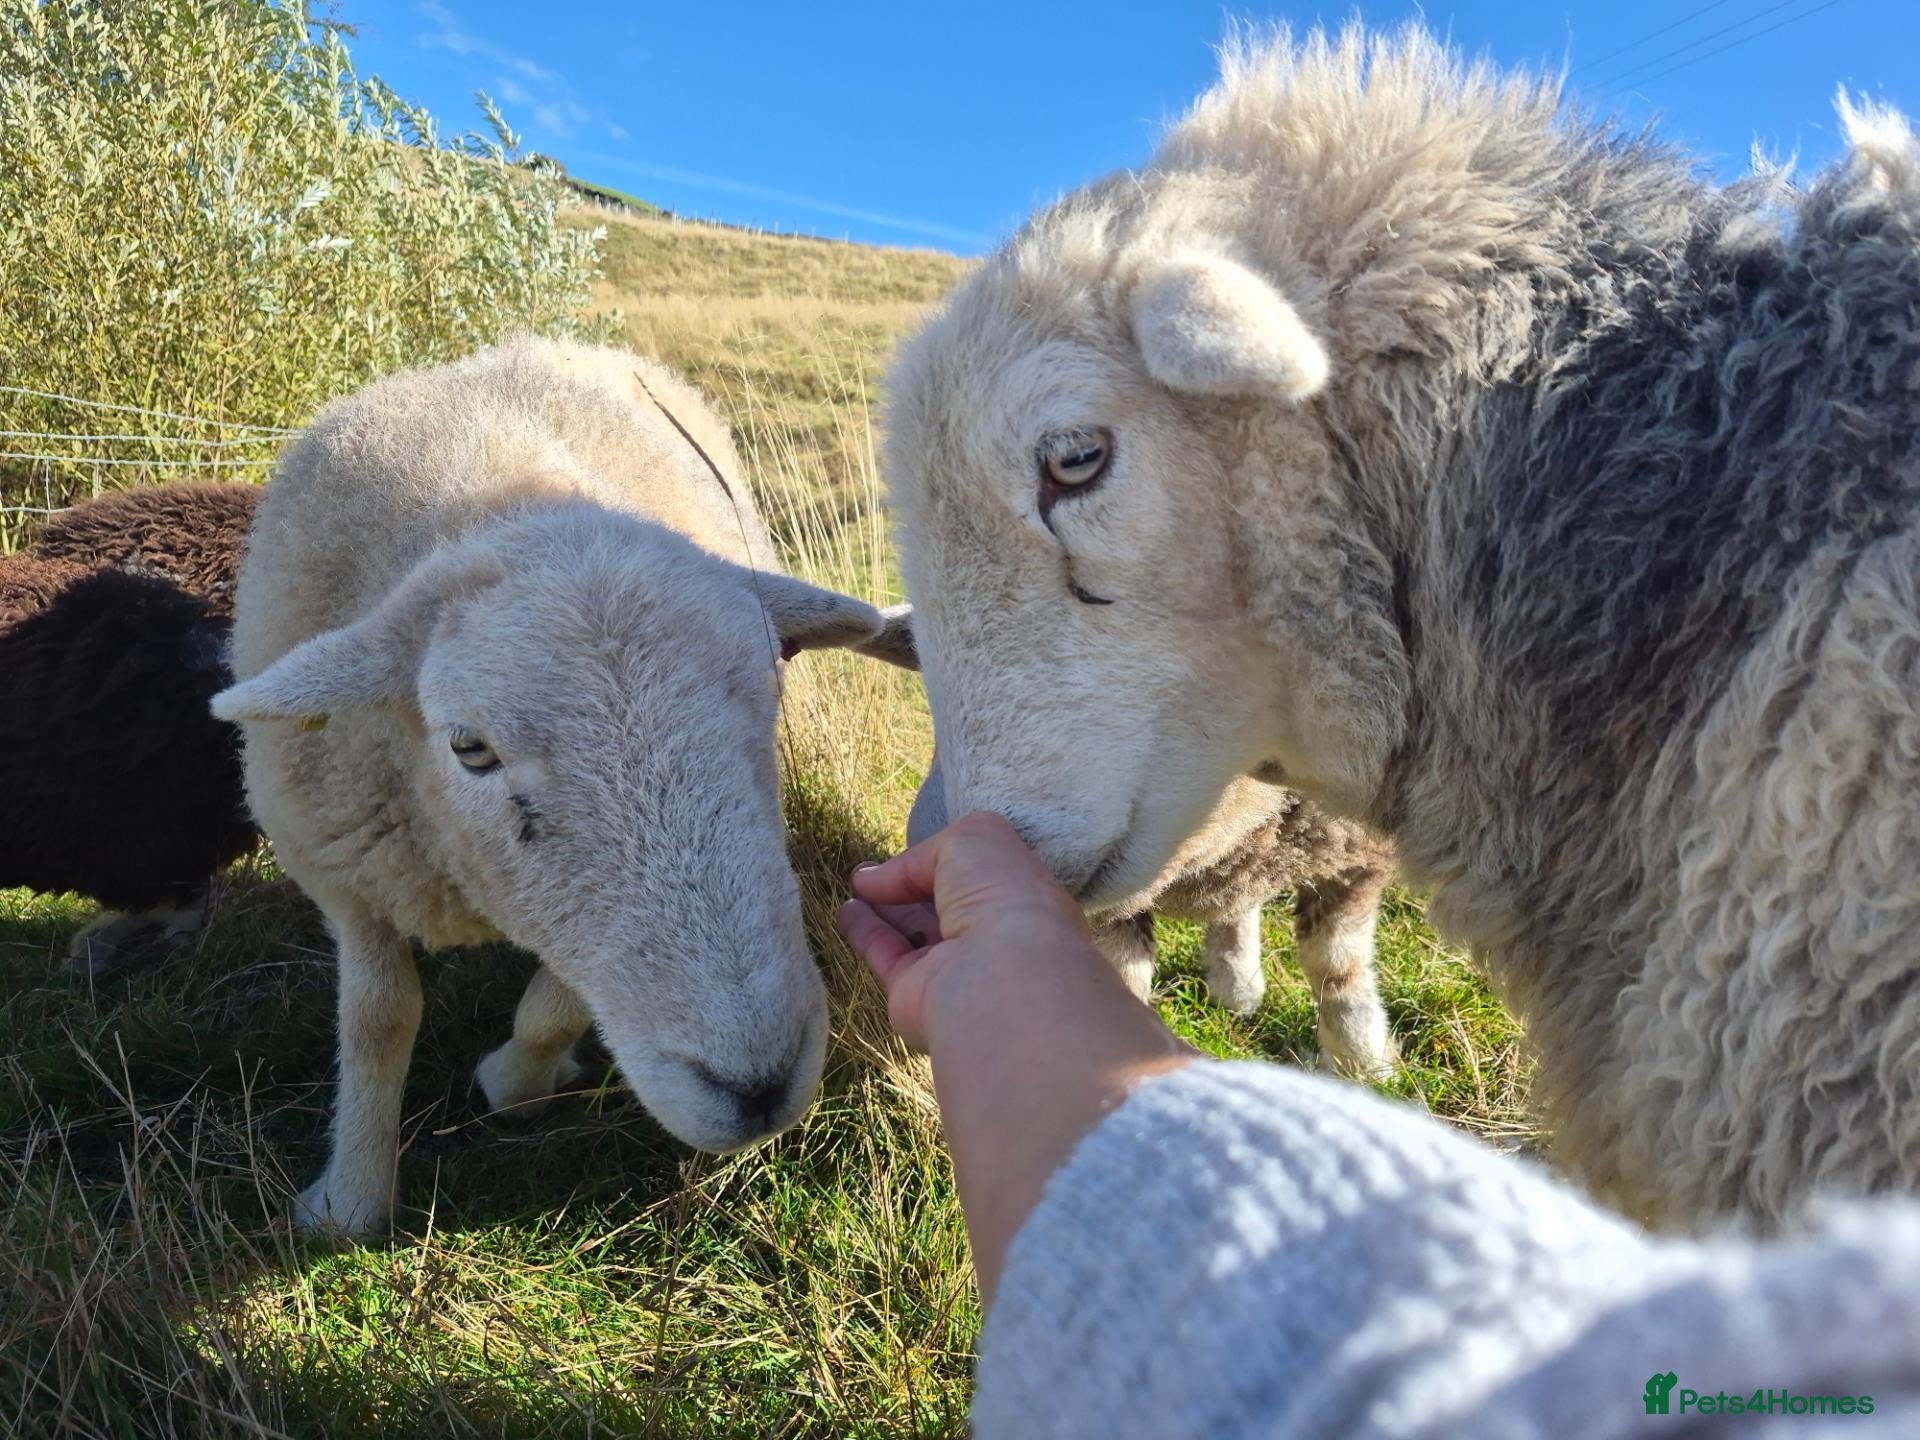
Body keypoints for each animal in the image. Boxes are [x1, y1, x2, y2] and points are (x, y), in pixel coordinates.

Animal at [211, 338, 895, 1236]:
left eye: (770, 685)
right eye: (468, 748)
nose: (757, 1089)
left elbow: (557, 1005)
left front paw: (517, 1080)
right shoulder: (346, 874)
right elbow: (377, 1019)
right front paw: (348, 1199)